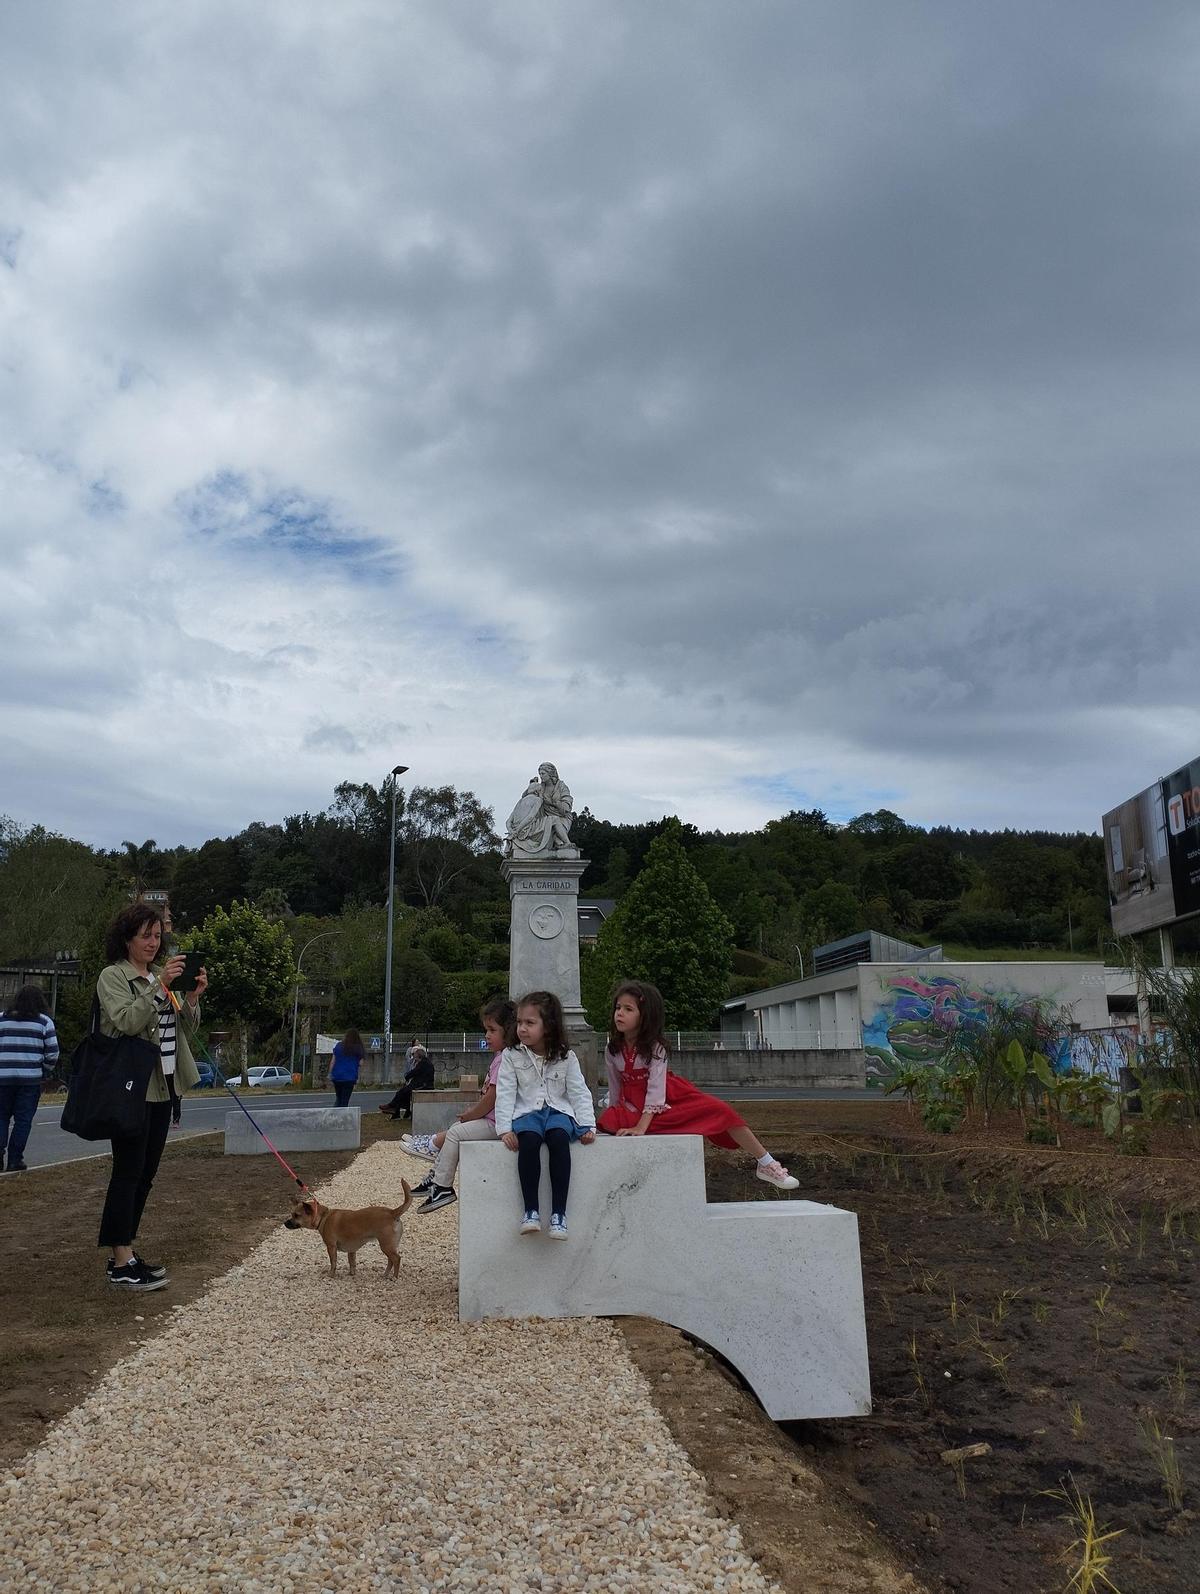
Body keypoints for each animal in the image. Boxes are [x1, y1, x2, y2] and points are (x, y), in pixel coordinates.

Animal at [283, 1185, 411, 1281]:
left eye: (296, 1215)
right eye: (292, 1214)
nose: (285, 1223)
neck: (324, 1217)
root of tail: (392, 1212)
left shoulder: (331, 1247)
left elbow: (333, 1263)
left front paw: (331, 1275)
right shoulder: (352, 1250)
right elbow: (352, 1262)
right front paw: (352, 1273)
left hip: (386, 1246)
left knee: (396, 1259)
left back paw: (394, 1277)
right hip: (389, 1247)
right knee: (391, 1260)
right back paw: (385, 1274)